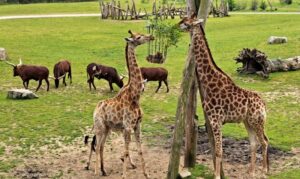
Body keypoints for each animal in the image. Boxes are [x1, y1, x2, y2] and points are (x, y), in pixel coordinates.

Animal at [92, 30, 154, 178]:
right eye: (138, 37)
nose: (151, 36)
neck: (135, 96)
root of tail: (95, 110)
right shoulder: (127, 126)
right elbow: (126, 151)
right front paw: (124, 175)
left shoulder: (137, 125)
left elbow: (140, 150)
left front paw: (146, 173)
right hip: (99, 127)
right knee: (97, 146)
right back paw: (96, 171)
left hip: (107, 128)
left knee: (101, 146)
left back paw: (104, 171)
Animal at [178, 14, 270, 178]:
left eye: (186, 21)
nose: (178, 25)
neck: (209, 81)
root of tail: (263, 104)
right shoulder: (211, 120)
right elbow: (216, 150)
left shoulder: (216, 120)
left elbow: (219, 151)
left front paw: (217, 175)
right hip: (248, 122)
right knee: (254, 143)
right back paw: (251, 171)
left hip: (257, 121)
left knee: (264, 141)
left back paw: (264, 170)